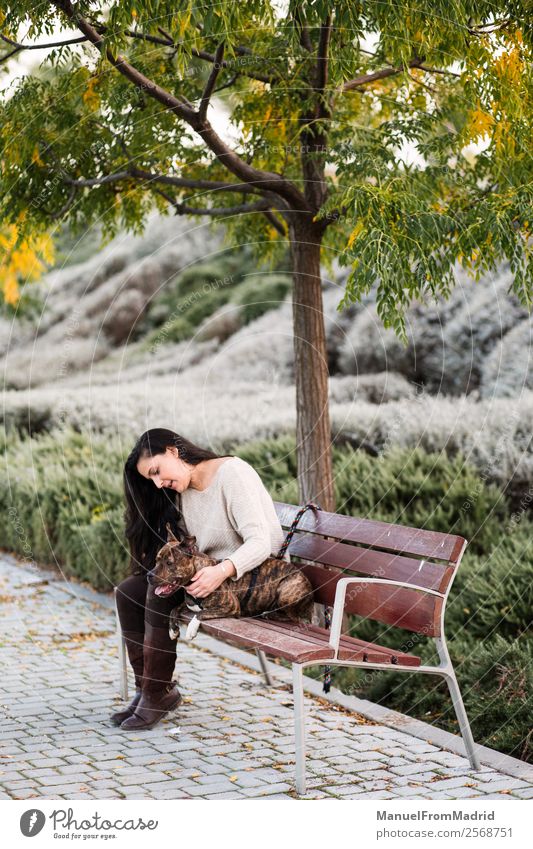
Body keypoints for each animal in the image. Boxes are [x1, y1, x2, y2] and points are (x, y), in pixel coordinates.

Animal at [148, 520, 314, 640]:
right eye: (156, 560)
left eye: (169, 563)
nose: (148, 575)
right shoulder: (189, 604)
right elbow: (174, 609)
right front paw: (172, 630)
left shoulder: (230, 606)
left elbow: (201, 613)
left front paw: (191, 629)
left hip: (286, 590)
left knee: (294, 617)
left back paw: (269, 613)